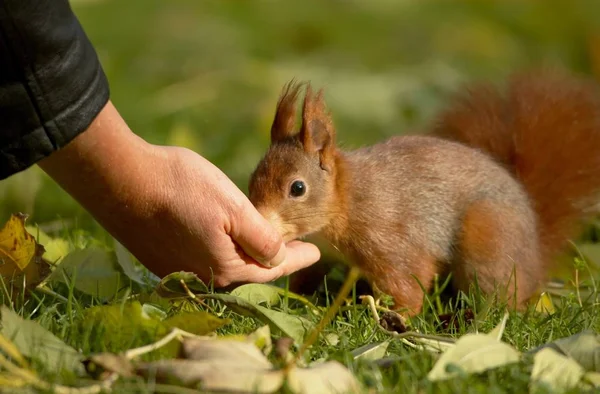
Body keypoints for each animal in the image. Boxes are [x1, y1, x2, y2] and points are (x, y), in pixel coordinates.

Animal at [248, 67, 600, 314]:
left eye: (297, 188)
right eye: (253, 177)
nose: (260, 218)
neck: (346, 202)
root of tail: (536, 250)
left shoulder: (387, 238)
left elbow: (407, 282)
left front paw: (393, 318)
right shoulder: (322, 255)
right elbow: (308, 277)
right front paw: (293, 297)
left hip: (490, 239)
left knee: (500, 295)